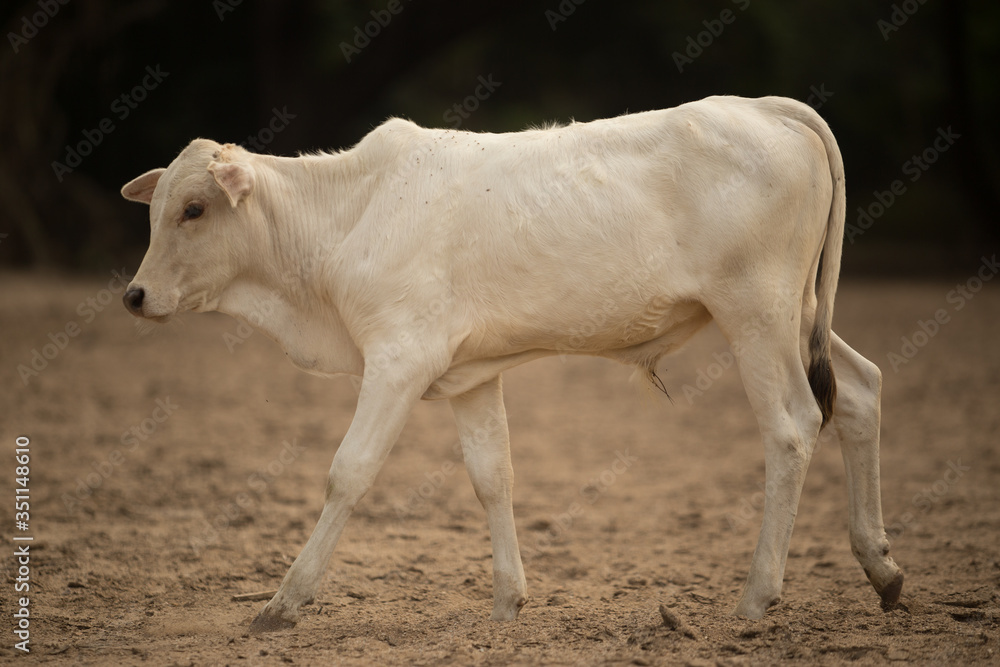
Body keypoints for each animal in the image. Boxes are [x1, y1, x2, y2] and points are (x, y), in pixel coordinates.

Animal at [120, 95, 903, 632]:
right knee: (860, 391)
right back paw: (883, 569)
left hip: (756, 313)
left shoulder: (398, 360)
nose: (134, 295)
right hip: (798, 313)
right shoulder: (472, 373)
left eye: (194, 209)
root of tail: (764, 105)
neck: (348, 214)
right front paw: (507, 600)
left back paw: (757, 595)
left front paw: (284, 600)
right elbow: (492, 476)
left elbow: (348, 471)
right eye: (156, 210)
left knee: (793, 426)